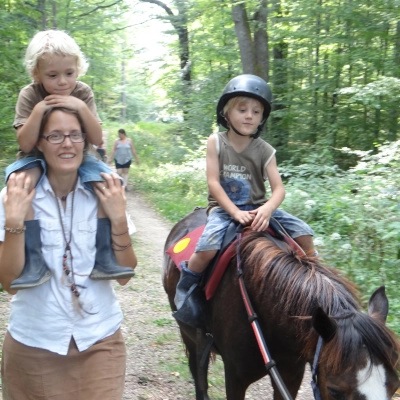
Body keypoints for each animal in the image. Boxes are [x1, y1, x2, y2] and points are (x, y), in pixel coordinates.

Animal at [162, 208, 400, 398]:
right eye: (335, 391)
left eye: (394, 386)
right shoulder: (235, 378)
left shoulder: (291, 375)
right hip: (190, 336)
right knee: (199, 376)